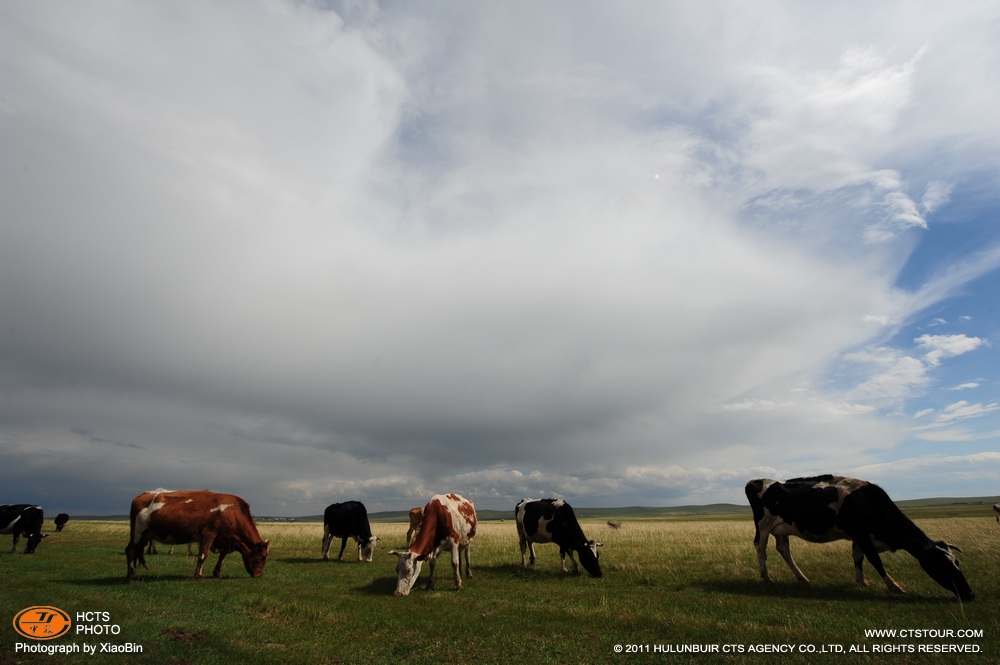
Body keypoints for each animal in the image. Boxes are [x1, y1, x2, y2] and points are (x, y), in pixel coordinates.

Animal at [125, 488, 270, 580]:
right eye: (263, 557)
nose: (258, 575)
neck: (232, 511)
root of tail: (141, 496)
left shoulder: (227, 538)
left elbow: (223, 554)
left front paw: (217, 572)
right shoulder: (209, 534)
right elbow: (202, 555)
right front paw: (198, 575)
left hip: (146, 535)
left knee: (134, 550)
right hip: (138, 531)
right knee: (131, 550)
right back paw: (131, 575)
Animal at [748, 474, 972, 600]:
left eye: (957, 562)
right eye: (943, 565)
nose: (970, 594)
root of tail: (756, 481)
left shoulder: (859, 537)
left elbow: (858, 558)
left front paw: (862, 581)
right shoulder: (861, 533)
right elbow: (875, 560)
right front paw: (894, 586)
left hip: (782, 529)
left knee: (784, 550)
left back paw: (802, 577)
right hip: (764, 524)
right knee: (760, 547)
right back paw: (766, 576)